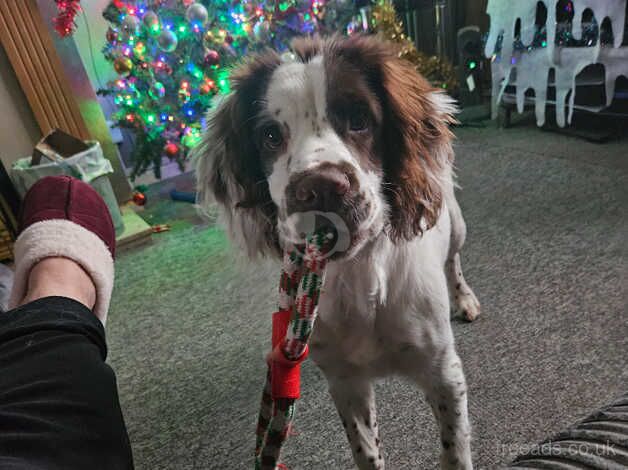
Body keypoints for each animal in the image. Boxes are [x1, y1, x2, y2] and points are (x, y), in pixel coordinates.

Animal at [196, 35, 480, 468]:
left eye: (360, 118)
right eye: (270, 136)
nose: (320, 188)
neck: (360, 274)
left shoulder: (444, 375)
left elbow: (454, 452)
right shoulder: (347, 384)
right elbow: (366, 452)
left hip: (454, 221)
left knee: (453, 260)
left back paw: (464, 298)